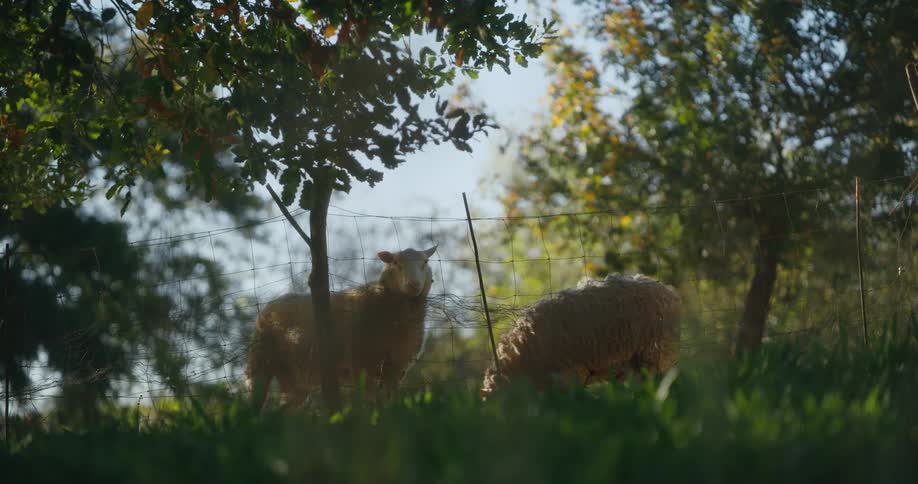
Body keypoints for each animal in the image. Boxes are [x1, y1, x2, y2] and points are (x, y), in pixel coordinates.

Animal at [246, 245, 438, 408]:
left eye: (425, 262)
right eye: (396, 263)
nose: (413, 285)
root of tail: (271, 305)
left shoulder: (397, 369)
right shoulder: (363, 366)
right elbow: (371, 404)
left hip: (297, 380)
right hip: (260, 363)